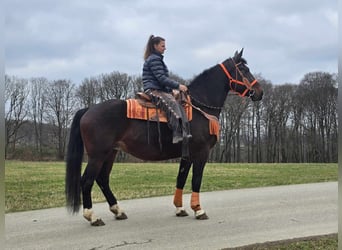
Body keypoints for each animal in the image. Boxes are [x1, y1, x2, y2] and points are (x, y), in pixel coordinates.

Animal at [66, 49, 264, 227]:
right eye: (244, 69)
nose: (259, 91)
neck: (199, 107)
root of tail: (89, 109)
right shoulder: (201, 153)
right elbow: (196, 180)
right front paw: (198, 210)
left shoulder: (187, 154)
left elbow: (181, 178)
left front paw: (180, 208)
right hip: (98, 155)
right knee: (87, 181)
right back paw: (93, 217)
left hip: (110, 153)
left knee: (102, 179)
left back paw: (118, 211)